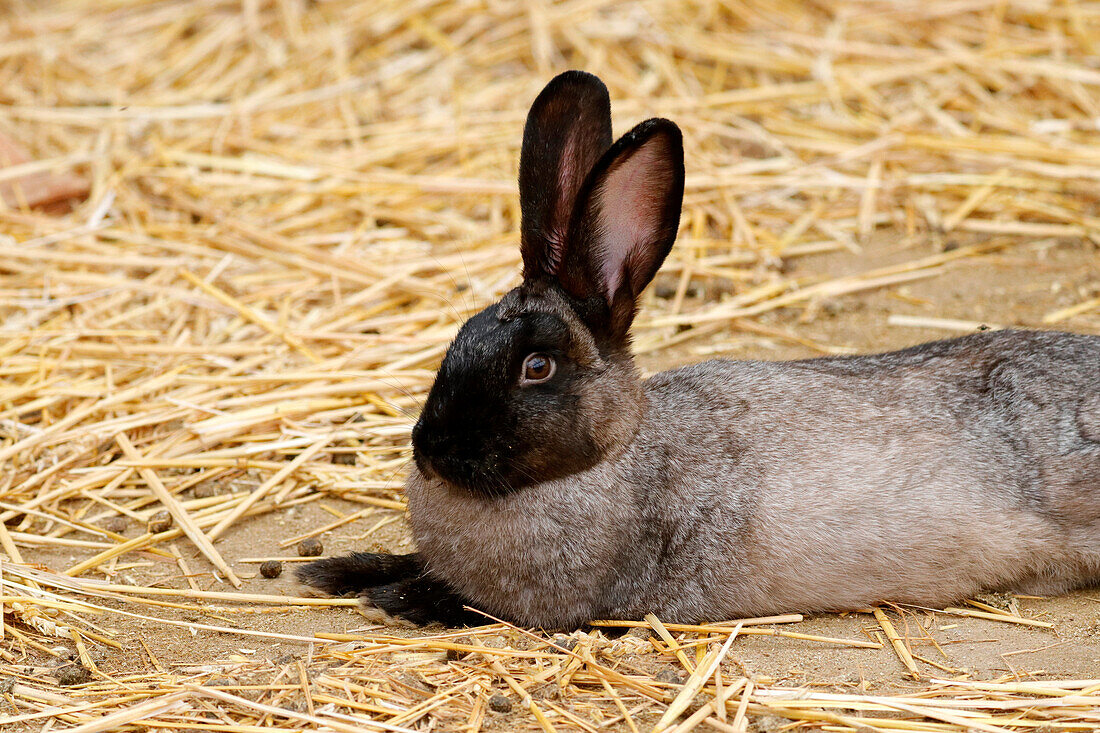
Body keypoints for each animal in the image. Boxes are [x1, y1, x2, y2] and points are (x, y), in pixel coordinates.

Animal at [297, 71, 1100, 625]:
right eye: (459, 336)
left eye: (536, 366)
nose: (429, 448)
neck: (616, 456)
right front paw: (337, 571)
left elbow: (458, 598)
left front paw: (390, 597)